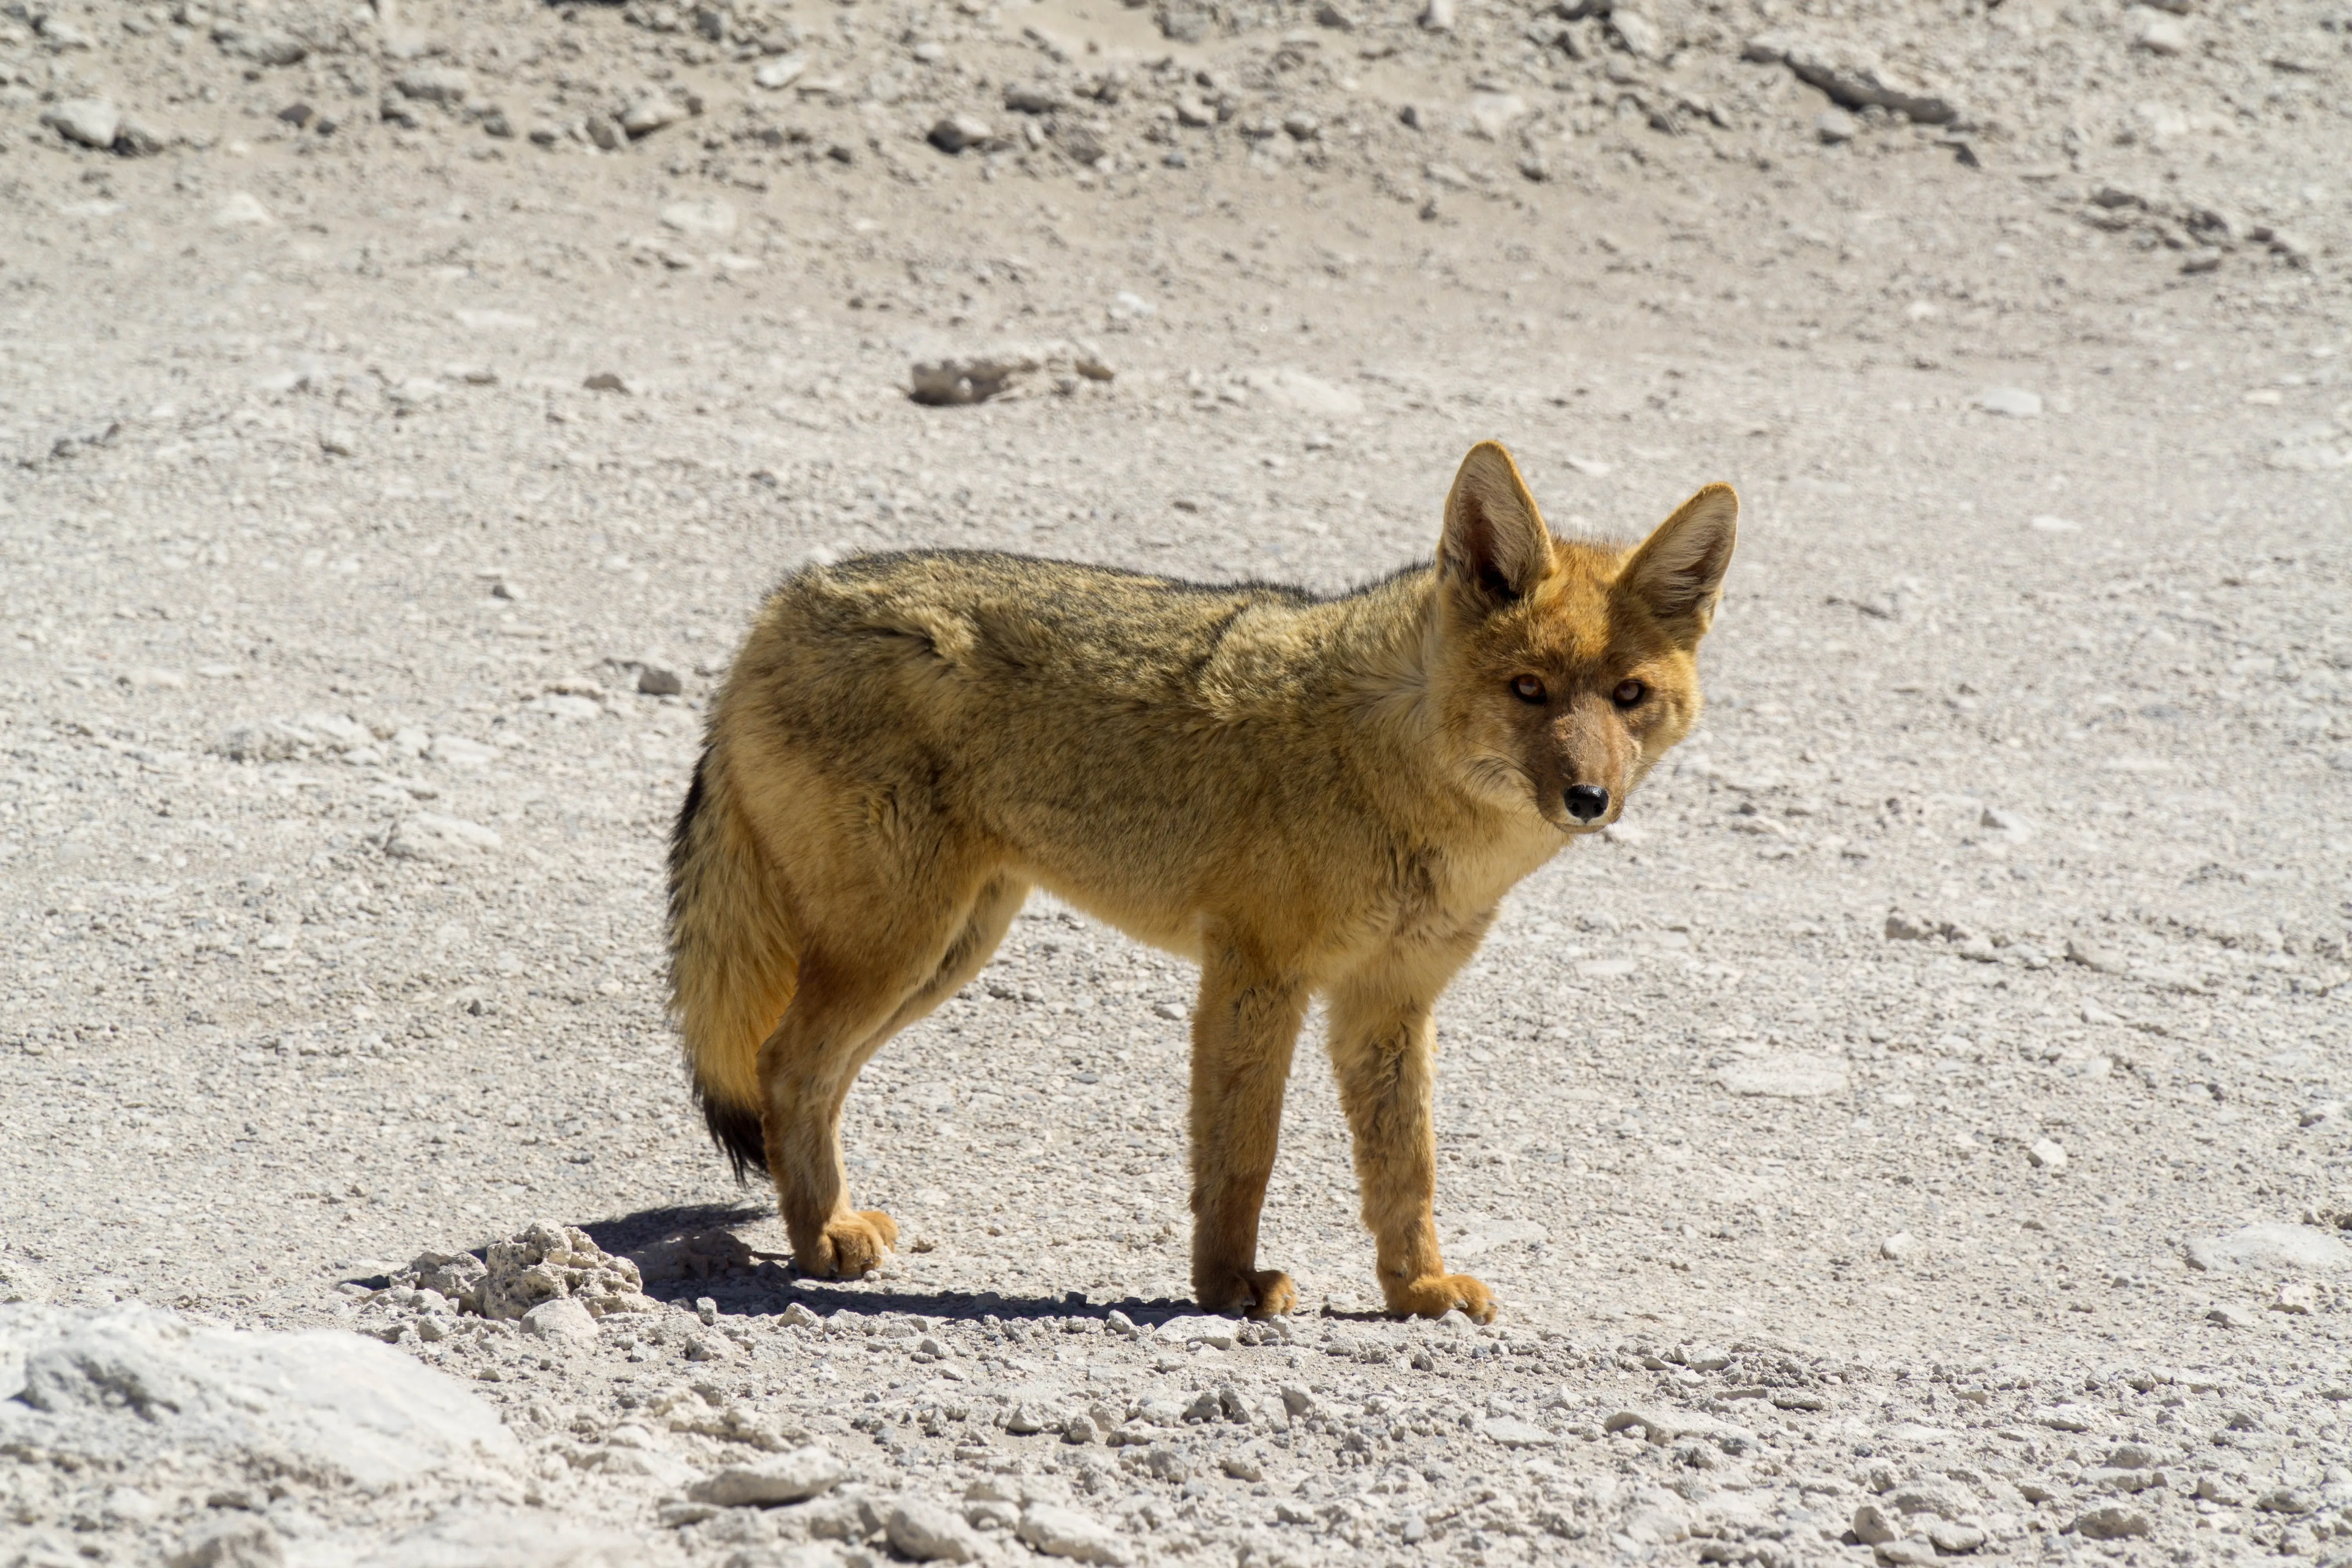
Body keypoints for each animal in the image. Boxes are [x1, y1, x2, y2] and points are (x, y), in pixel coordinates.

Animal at [667, 441, 1736, 1322]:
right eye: (1528, 691)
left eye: (1628, 697)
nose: (1590, 797)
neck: (1399, 774)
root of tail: (784, 602)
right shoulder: (1256, 972)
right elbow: (1242, 1154)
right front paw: (1226, 1287)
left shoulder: (1387, 1001)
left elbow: (1406, 1170)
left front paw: (1418, 1288)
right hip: (900, 948)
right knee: (785, 1063)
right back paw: (818, 1241)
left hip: (945, 951)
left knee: (809, 1077)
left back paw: (829, 1224)